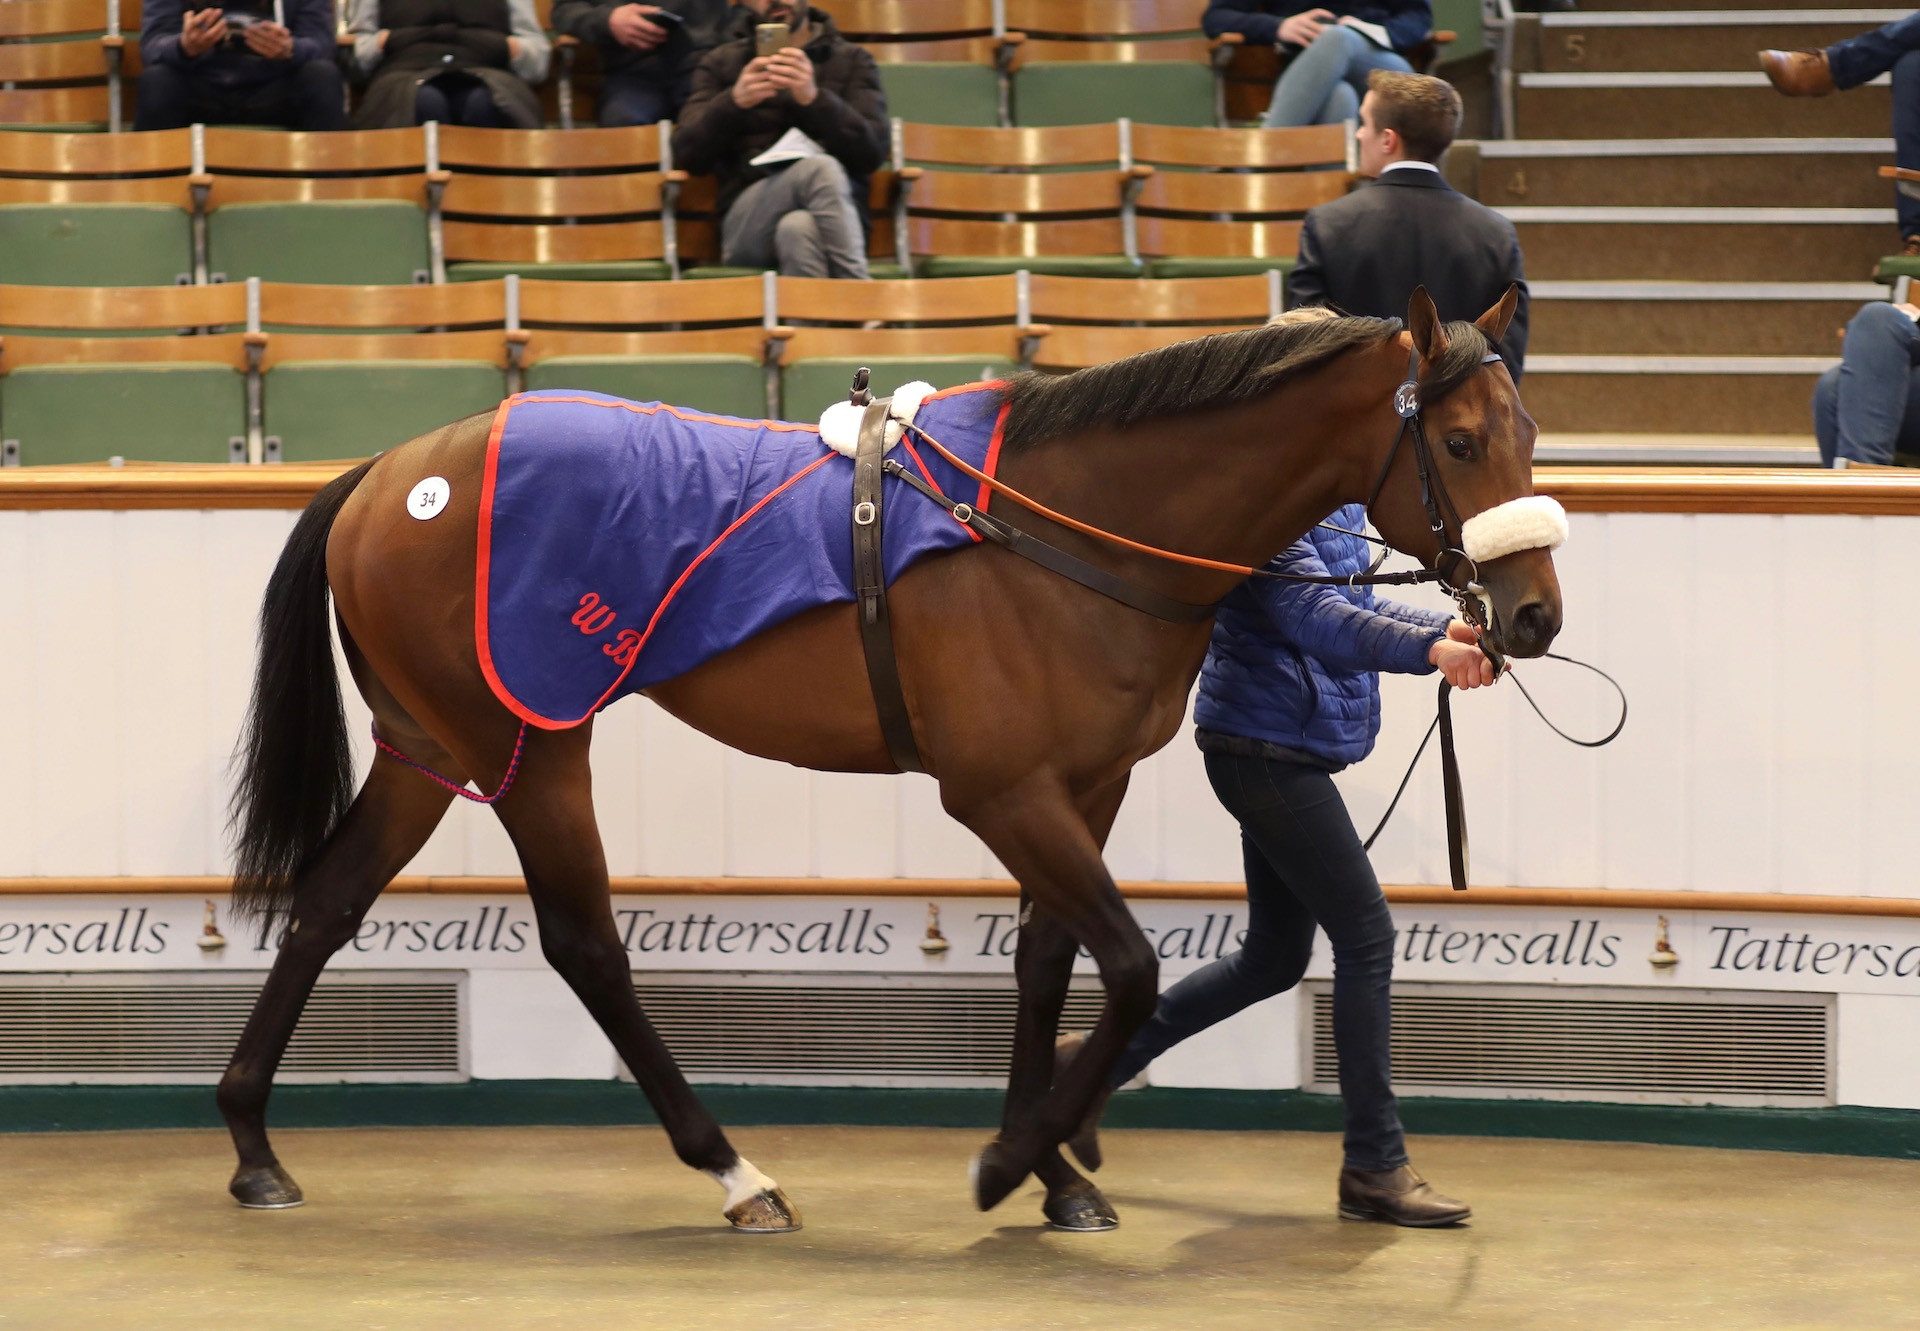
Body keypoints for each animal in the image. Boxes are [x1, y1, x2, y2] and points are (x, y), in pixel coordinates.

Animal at [217, 288, 1559, 1236]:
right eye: (1457, 439)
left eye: (1529, 430)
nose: (1535, 614)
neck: (1057, 527)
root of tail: (394, 475)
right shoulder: (1002, 793)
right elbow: (1128, 966)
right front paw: (1015, 1158)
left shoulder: (1084, 787)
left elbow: (1049, 961)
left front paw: (1058, 1169)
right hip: (533, 740)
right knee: (585, 944)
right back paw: (733, 1168)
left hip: (430, 742)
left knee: (329, 902)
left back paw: (252, 1142)